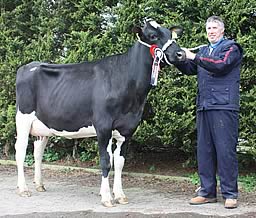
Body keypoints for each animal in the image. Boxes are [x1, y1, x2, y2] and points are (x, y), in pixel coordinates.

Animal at [15, 20, 185, 206]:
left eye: (171, 35)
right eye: (153, 36)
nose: (181, 54)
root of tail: (29, 65)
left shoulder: (128, 128)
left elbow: (119, 163)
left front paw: (120, 195)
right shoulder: (103, 126)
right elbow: (105, 162)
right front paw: (106, 197)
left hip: (43, 126)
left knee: (38, 152)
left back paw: (39, 184)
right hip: (23, 118)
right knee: (20, 150)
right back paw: (23, 189)